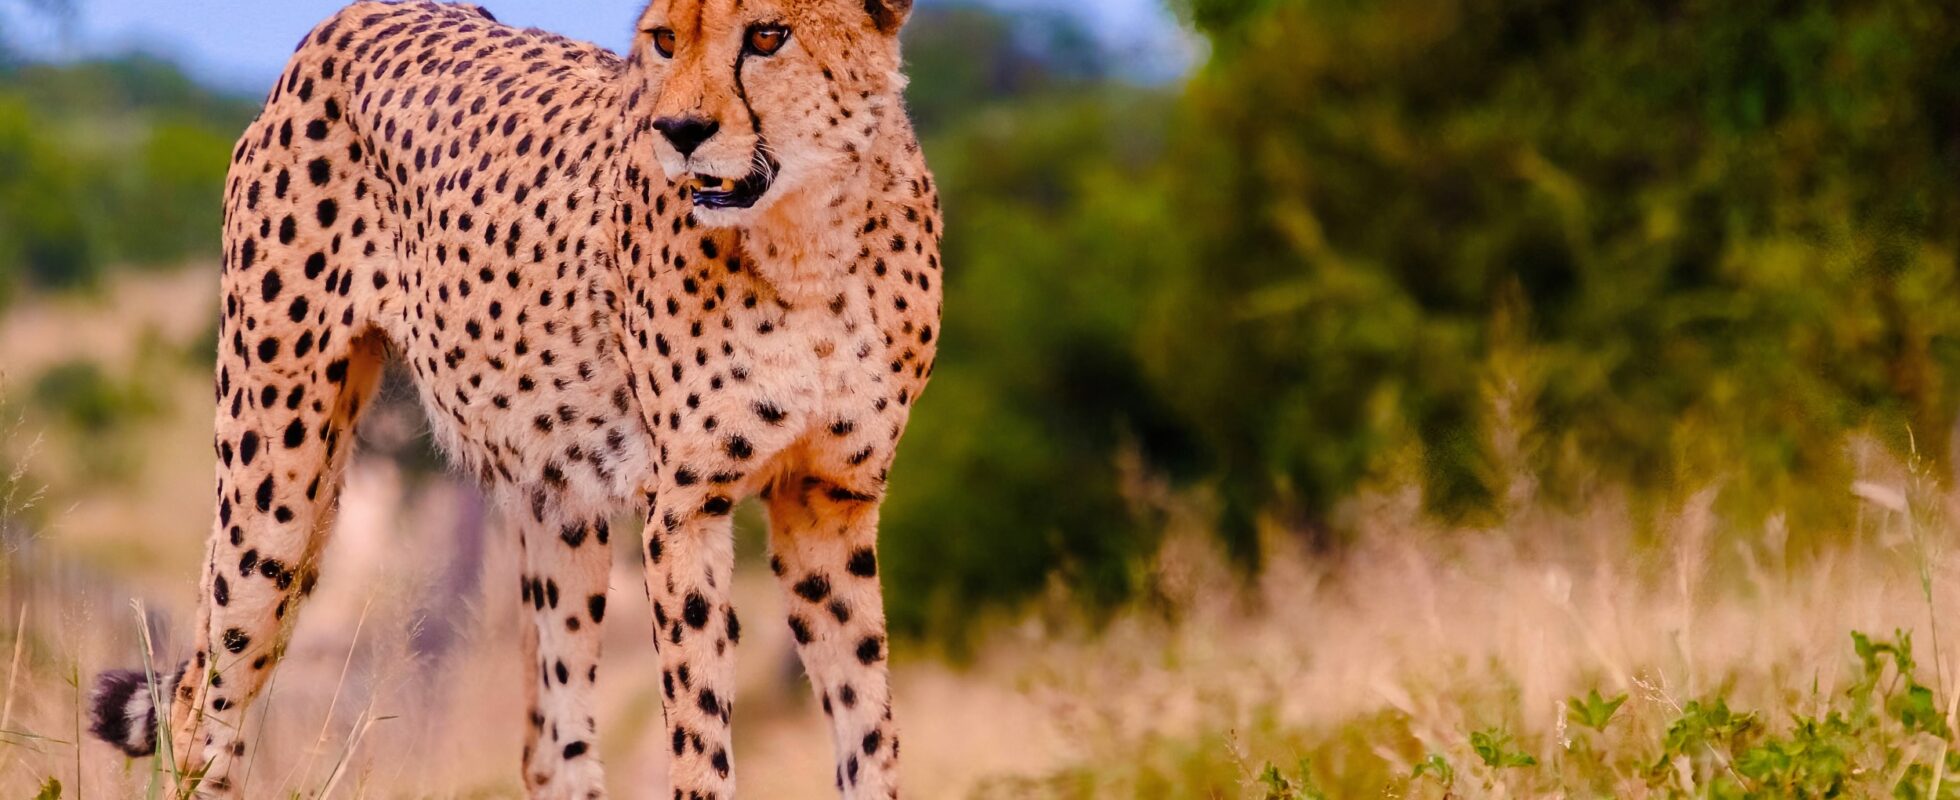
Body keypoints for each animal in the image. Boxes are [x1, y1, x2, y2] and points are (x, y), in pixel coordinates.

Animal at [84, 0, 941, 797]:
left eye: (767, 35)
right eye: (666, 38)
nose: (679, 130)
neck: (811, 242)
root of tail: (350, 17)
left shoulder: (830, 502)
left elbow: (868, 723)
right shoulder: (686, 507)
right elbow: (701, 735)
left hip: (560, 501)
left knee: (552, 743)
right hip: (279, 483)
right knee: (205, 705)